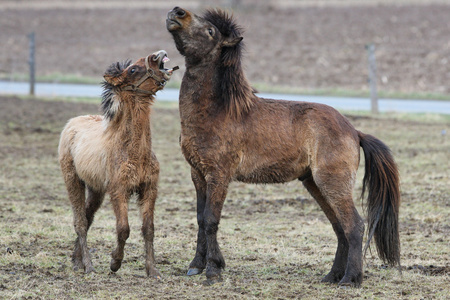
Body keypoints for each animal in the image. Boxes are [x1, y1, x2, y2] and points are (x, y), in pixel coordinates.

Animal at [59, 50, 178, 278]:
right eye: (132, 69)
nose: (158, 54)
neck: (135, 153)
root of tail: (71, 123)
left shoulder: (149, 189)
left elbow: (148, 229)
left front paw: (152, 270)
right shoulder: (119, 190)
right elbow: (123, 228)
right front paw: (115, 262)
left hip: (96, 189)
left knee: (87, 217)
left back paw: (77, 262)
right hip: (73, 180)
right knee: (80, 222)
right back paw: (88, 266)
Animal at [166, 8, 400, 288]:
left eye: (210, 30)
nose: (177, 12)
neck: (218, 110)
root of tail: (355, 131)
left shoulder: (219, 175)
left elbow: (211, 220)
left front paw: (213, 270)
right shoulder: (198, 175)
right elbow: (201, 219)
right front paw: (196, 266)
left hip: (332, 183)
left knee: (354, 225)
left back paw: (350, 279)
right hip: (314, 184)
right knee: (339, 227)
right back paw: (331, 276)